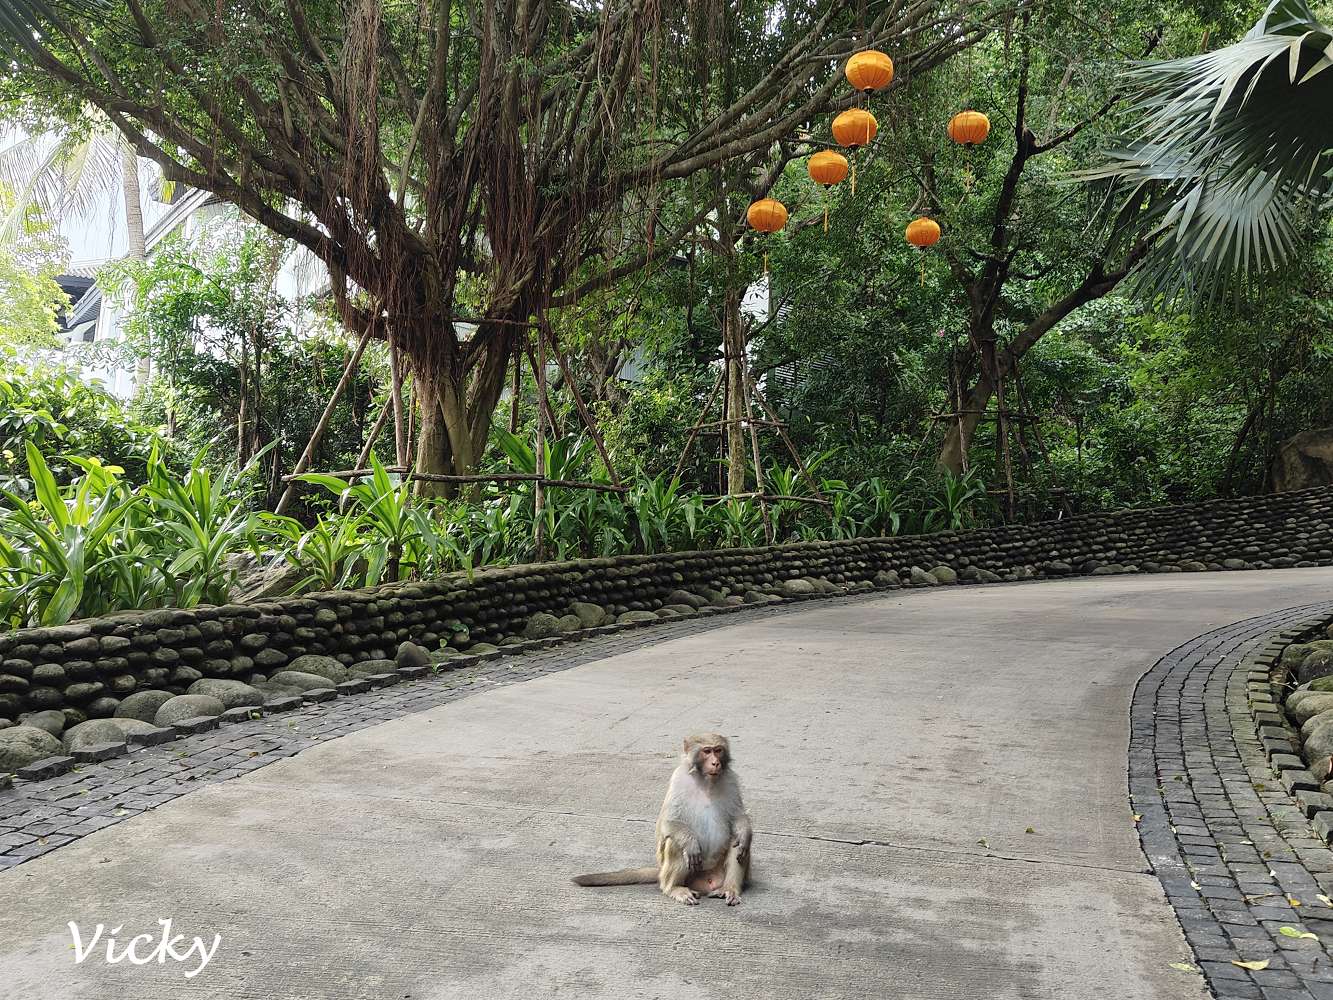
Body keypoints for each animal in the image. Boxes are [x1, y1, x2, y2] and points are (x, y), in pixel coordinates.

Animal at [575, 736, 757, 906]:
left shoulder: (731, 779)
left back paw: (729, 888)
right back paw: (674, 888)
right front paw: (690, 843)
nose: (715, 763)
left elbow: (737, 816)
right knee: (675, 842)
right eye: (707, 751)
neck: (707, 782)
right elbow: (667, 823)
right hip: (685, 875)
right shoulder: (678, 779)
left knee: (737, 843)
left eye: (718, 750)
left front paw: (745, 833)